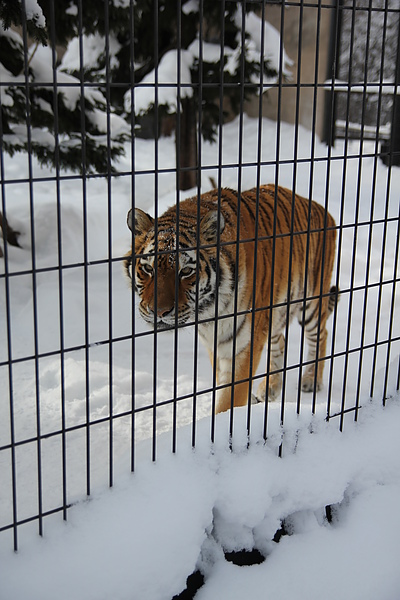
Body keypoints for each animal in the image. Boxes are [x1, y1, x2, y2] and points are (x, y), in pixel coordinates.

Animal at [124, 185, 338, 414]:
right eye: (148, 268)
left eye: (186, 271)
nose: (159, 312)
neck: (209, 310)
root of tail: (321, 208)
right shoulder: (216, 343)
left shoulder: (244, 342)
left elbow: (229, 398)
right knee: (280, 341)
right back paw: (270, 387)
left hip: (311, 301)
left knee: (321, 334)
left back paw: (311, 380)